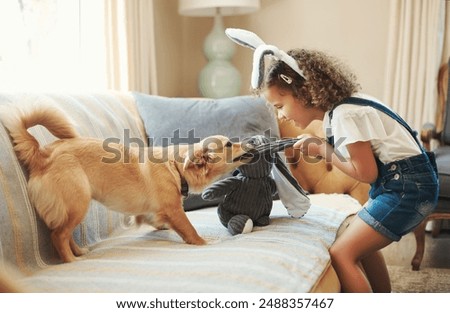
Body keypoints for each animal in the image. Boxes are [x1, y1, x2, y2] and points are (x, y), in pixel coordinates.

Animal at [0, 104, 253, 260]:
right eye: (229, 144)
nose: (251, 141)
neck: (175, 166)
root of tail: (42, 155)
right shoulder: (174, 210)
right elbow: (189, 229)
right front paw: (203, 242)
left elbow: (154, 219)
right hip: (78, 203)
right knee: (58, 236)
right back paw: (71, 259)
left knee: (64, 234)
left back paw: (79, 251)